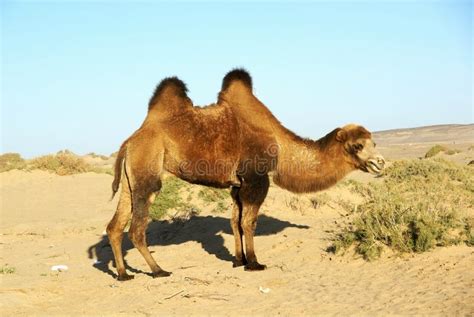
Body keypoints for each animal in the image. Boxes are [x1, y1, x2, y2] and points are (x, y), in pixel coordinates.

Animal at [106, 68, 386, 278]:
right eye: (357, 145)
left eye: (374, 142)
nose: (380, 162)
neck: (281, 147)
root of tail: (130, 141)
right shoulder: (256, 178)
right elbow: (248, 222)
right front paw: (254, 262)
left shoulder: (237, 184)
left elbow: (234, 221)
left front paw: (238, 260)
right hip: (147, 170)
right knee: (136, 228)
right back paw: (158, 270)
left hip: (131, 177)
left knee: (114, 226)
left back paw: (123, 274)